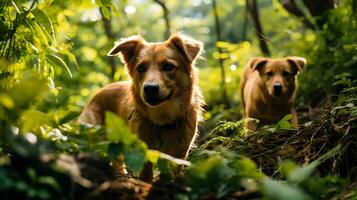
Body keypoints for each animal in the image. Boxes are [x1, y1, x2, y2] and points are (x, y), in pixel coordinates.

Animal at [77, 33, 203, 179]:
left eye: (168, 66)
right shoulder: (142, 151)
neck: (163, 120)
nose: (150, 88)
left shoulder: (180, 152)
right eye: (141, 68)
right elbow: (146, 175)